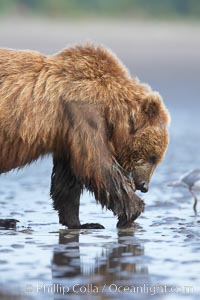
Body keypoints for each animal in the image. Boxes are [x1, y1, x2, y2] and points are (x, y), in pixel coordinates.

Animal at [0, 44, 170, 229]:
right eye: (153, 157)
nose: (144, 186)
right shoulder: (83, 113)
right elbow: (97, 165)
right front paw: (132, 210)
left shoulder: (66, 135)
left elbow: (68, 179)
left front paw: (81, 223)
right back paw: (8, 220)